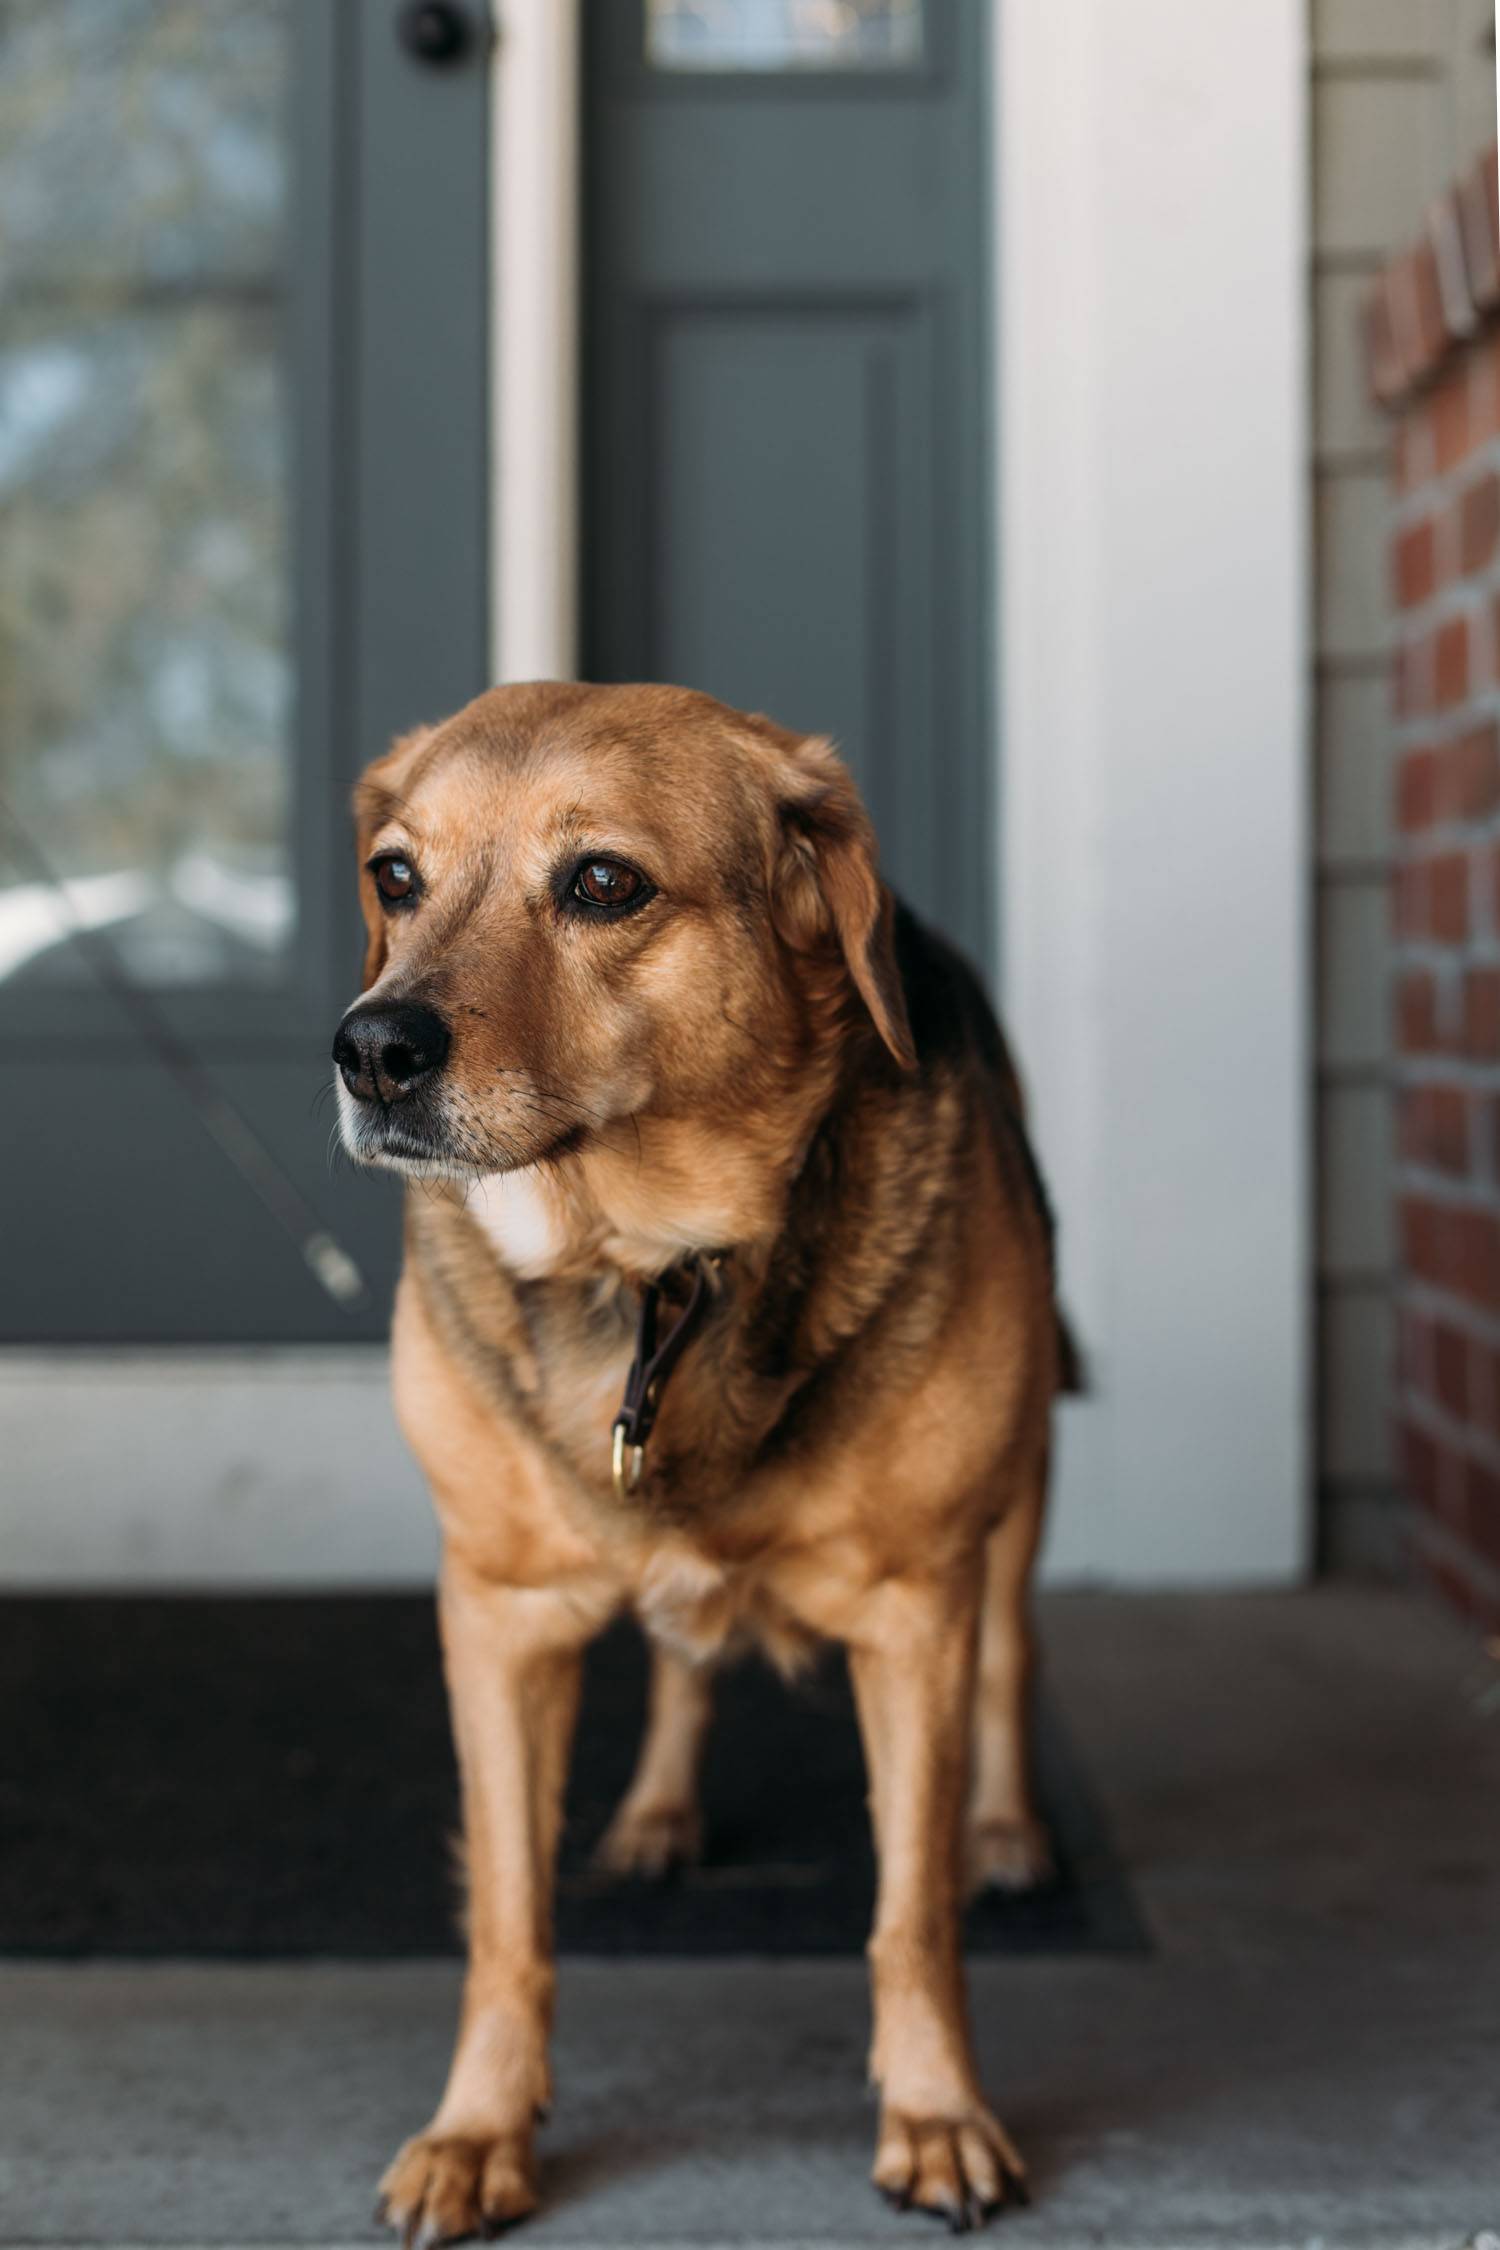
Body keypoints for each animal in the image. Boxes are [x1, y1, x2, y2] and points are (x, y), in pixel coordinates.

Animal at [337, 679, 1065, 2232]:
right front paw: (480, 2129)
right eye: (397, 876)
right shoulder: (497, 1617)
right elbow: (508, 1917)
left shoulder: (915, 1611)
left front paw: (937, 2112)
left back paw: (1008, 1829)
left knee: (1012, 1661)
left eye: (605, 884)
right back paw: (660, 1813)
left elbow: (910, 1915)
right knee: (683, 1657)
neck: (649, 1270)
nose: (369, 1050)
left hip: (1017, 1502)